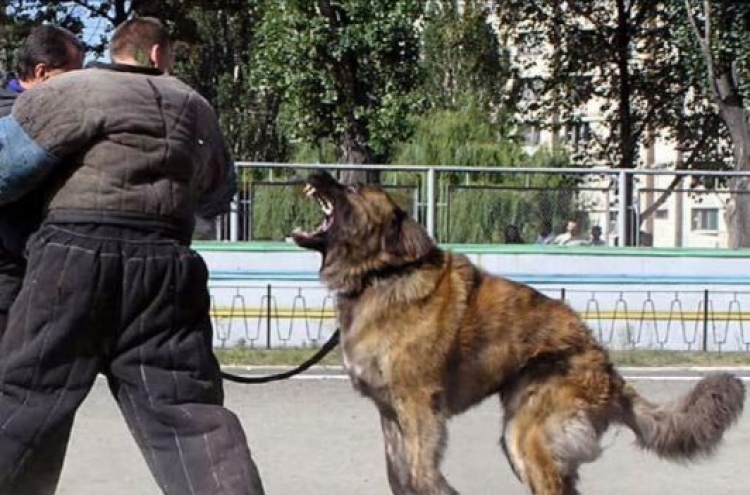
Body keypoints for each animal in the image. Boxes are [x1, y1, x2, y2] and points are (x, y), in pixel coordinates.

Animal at [294, 170, 748, 495]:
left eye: (352, 186)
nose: (316, 172)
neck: (381, 273)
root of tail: (608, 371)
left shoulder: (420, 405)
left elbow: (421, 473)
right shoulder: (389, 411)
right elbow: (400, 476)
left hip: (527, 435)